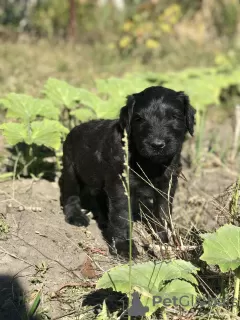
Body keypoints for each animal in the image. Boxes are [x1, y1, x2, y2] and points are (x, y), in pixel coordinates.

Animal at [59, 86, 195, 256]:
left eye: (174, 116)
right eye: (139, 119)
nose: (157, 144)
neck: (148, 162)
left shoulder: (167, 183)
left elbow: (162, 212)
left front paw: (165, 240)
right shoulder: (120, 184)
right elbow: (122, 216)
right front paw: (124, 247)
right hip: (71, 169)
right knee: (71, 195)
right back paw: (76, 216)